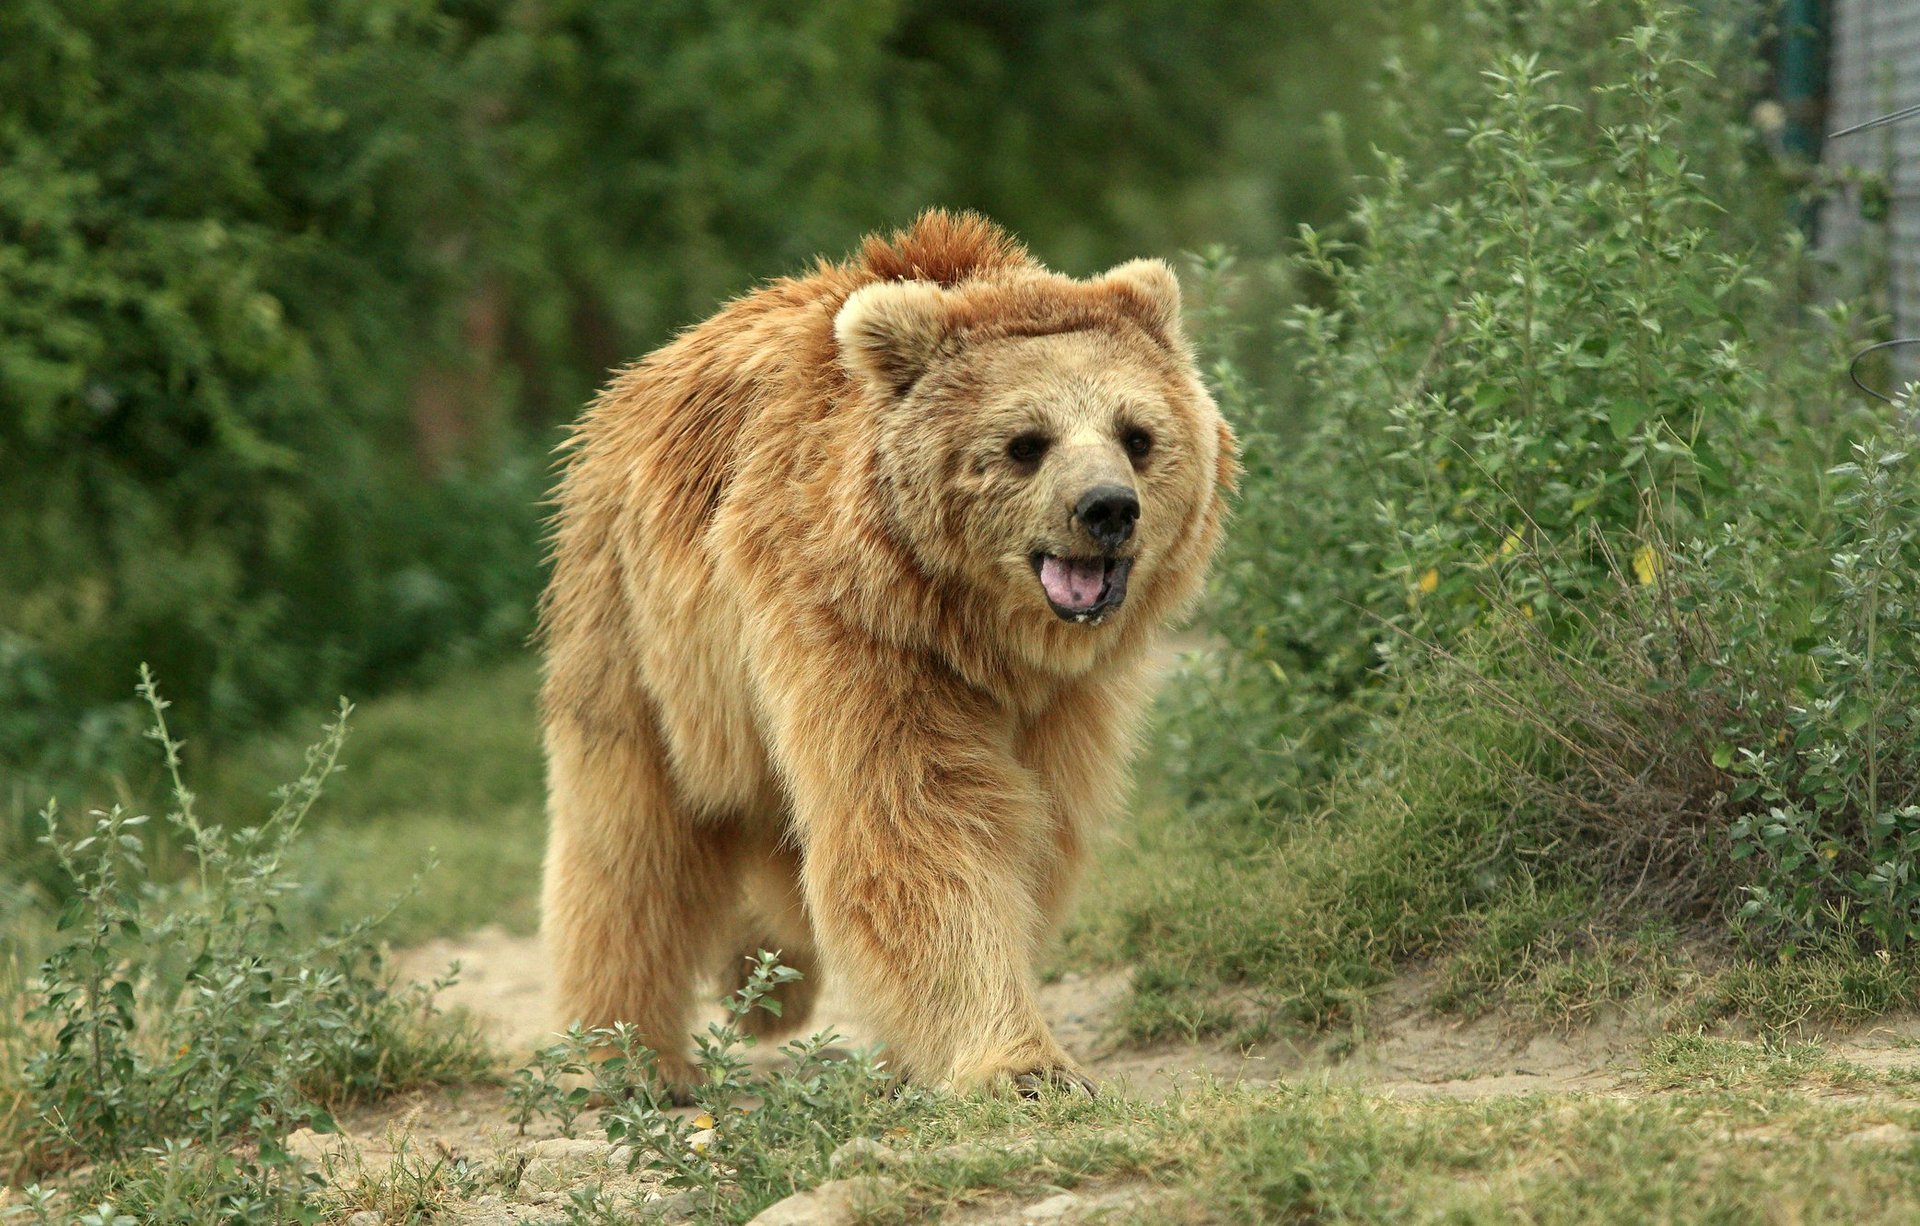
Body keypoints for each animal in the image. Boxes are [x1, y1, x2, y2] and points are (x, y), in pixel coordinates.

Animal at [533, 211, 1236, 1089]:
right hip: (639, 631)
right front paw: (1018, 1063)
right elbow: (916, 824)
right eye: (1026, 442)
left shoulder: (1067, 704)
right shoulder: (855, 634)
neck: (981, 634)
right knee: (631, 839)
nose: (1106, 509)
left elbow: (1036, 830)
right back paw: (624, 1053)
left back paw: (764, 983)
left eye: (1137, 435)